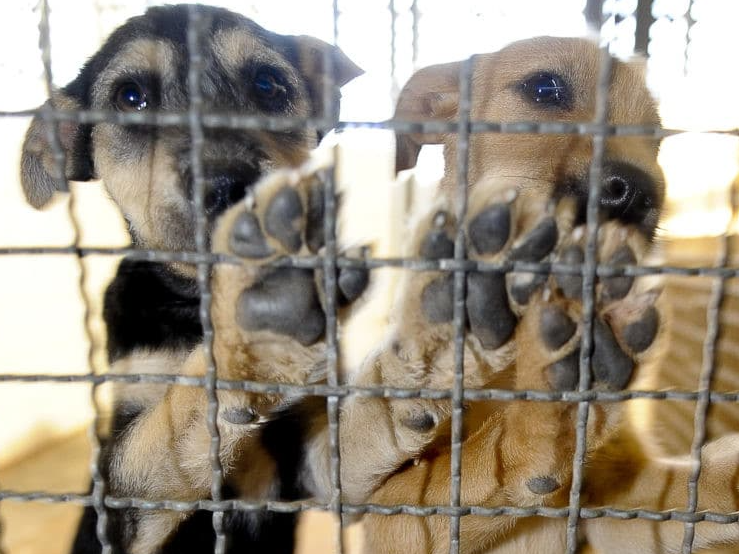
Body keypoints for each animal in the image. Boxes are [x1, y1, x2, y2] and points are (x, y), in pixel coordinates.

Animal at [19, 4, 362, 552]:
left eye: (267, 84)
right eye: (130, 98)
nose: (228, 188)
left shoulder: (314, 464)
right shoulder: (118, 500)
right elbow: (158, 435)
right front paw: (254, 337)